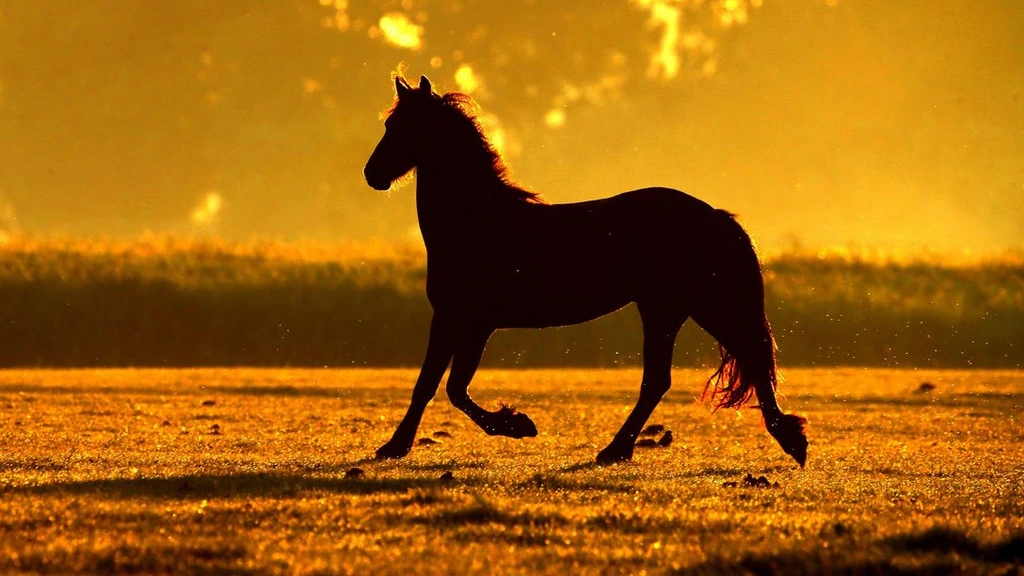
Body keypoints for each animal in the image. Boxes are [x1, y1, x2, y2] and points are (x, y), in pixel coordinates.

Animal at [363, 74, 808, 466]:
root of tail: (716, 216)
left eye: (404, 125)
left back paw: (788, 440)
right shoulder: (471, 324)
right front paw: (512, 424)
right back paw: (619, 450)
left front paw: (507, 426)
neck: (476, 220)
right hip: (666, 310)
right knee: (663, 379)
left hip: (700, 306)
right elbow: (448, 386)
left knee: (745, 357)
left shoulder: (460, 319)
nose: (372, 174)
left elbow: (437, 386)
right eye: (389, 124)